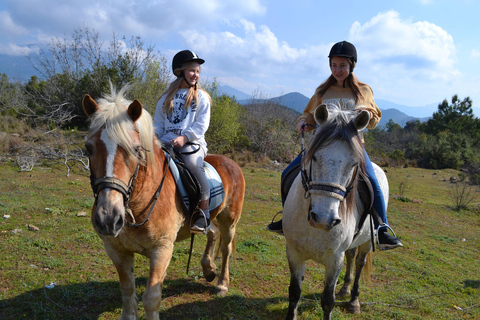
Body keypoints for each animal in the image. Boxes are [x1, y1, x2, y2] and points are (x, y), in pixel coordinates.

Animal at [81, 85, 244, 320]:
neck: (139, 204)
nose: (108, 218)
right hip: (208, 218)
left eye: (136, 149)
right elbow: (127, 291)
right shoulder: (116, 250)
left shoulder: (162, 249)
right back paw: (208, 269)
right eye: (88, 148)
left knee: (226, 248)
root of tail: (231, 163)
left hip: (229, 220)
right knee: (211, 233)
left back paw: (222, 283)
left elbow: (151, 297)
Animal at [284, 104, 388, 318]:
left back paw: (354, 300)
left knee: (359, 263)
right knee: (351, 256)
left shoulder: (334, 260)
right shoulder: (294, 252)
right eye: (314, 156)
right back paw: (345, 289)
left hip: (367, 241)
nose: (324, 219)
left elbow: (327, 301)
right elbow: (294, 292)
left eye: (354, 164)